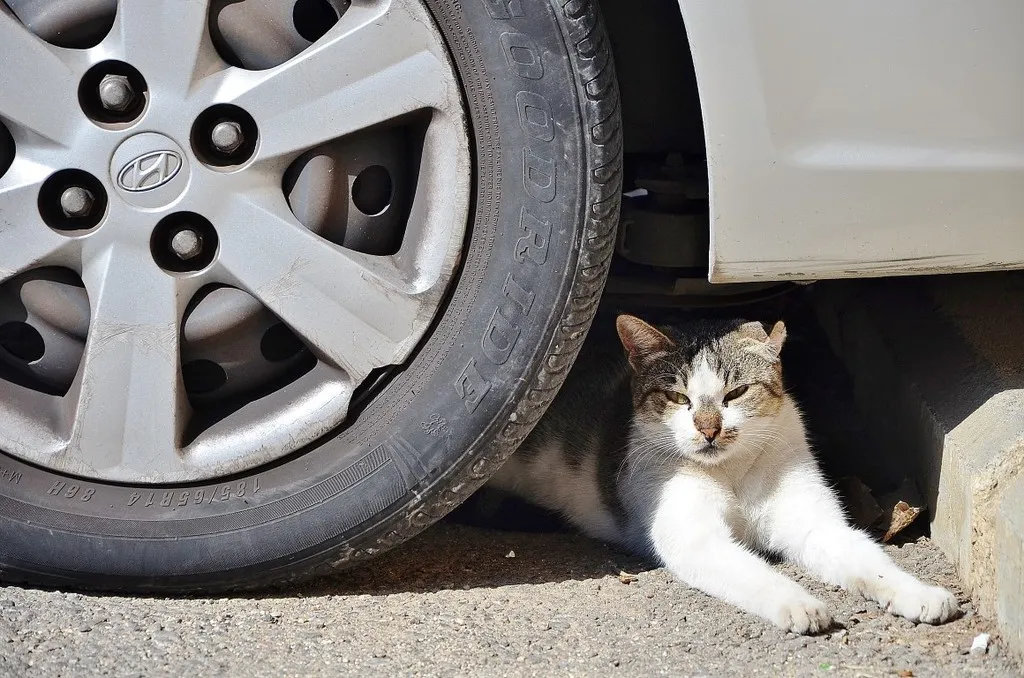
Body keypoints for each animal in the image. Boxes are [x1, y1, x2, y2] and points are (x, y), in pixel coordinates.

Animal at [487, 315, 958, 634]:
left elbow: (868, 562)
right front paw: (798, 602)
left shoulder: (815, 524)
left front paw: (918, 593)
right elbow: (753, 573)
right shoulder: (696, 538)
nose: (709, 428)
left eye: (737, 392)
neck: (731, 472)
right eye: (678, 397)